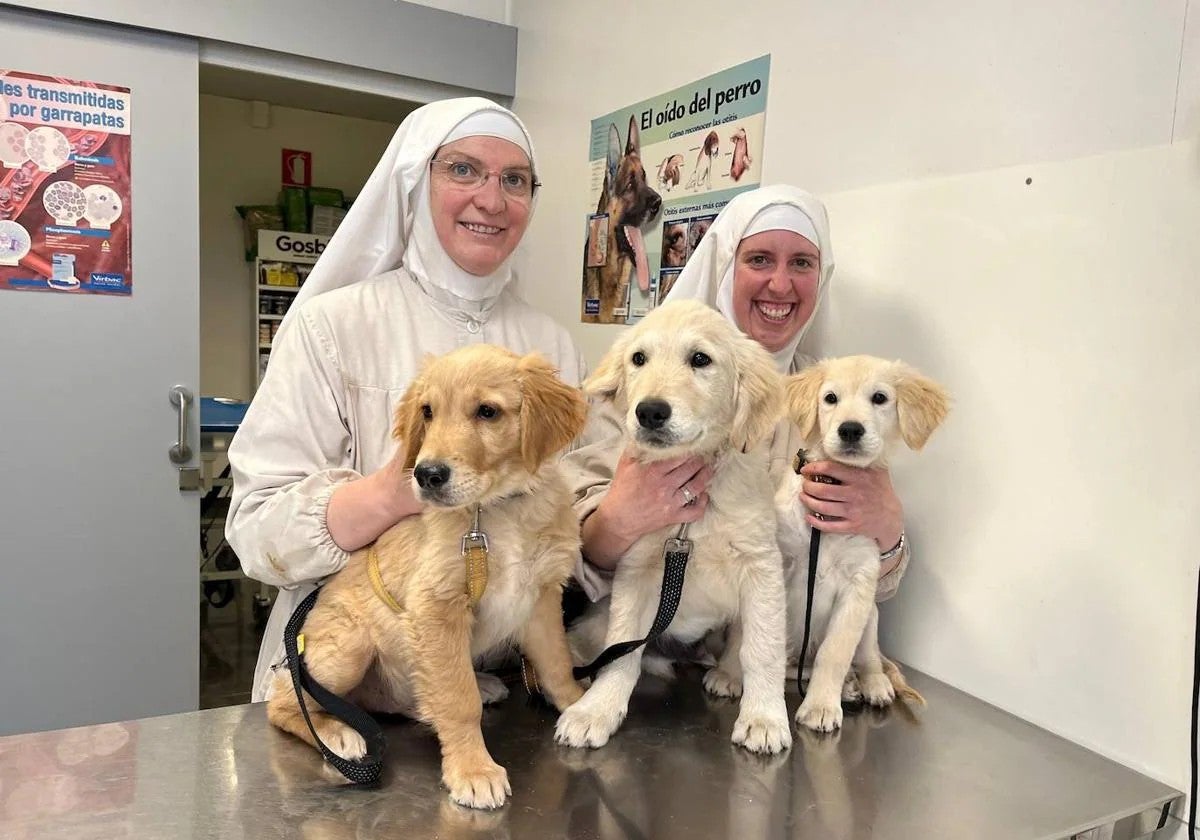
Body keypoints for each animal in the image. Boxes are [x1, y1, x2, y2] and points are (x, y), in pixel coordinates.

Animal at [271, 345, 590, 811]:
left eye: (487, 412)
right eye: (428, 411)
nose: (426, 475)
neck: (493, 512)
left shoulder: (541, 597)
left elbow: (555, 662)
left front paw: (580, 706)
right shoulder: (436, 608)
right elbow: (458, 701)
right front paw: (472, 770)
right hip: (349, 646)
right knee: (285, 701)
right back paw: (337, 734)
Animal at [554, 300, 796, 753]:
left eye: (700, 359)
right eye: (638, 359)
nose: (649, 411)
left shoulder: (761, 568)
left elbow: (762, 648)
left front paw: (764, 717)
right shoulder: (636, 569)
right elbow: (621, 650)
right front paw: (597, 710)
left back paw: (727, 675)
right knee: (592, 643)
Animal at [777, 357, 945, 729]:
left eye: (879, 398)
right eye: (830, 398)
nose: (851, 429)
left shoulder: (858, 587)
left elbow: (835, 653)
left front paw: (821, 706)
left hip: (871, 616)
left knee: (865, 659)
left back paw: (869, 685)